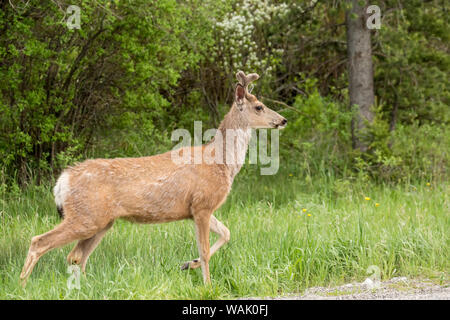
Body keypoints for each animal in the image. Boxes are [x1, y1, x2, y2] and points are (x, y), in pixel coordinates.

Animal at [20, 70, 284, 284]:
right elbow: (206, 250)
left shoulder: (196, 209)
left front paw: (188, 264)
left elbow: (227, 233)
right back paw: (22, 286)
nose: (283, 120)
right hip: (85, 217)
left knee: (75, 256)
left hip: (101, 221)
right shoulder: (202, 204)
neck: (220, 162)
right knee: (38, 242)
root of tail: (62, 181)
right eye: (259, 107)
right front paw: (208, 285)